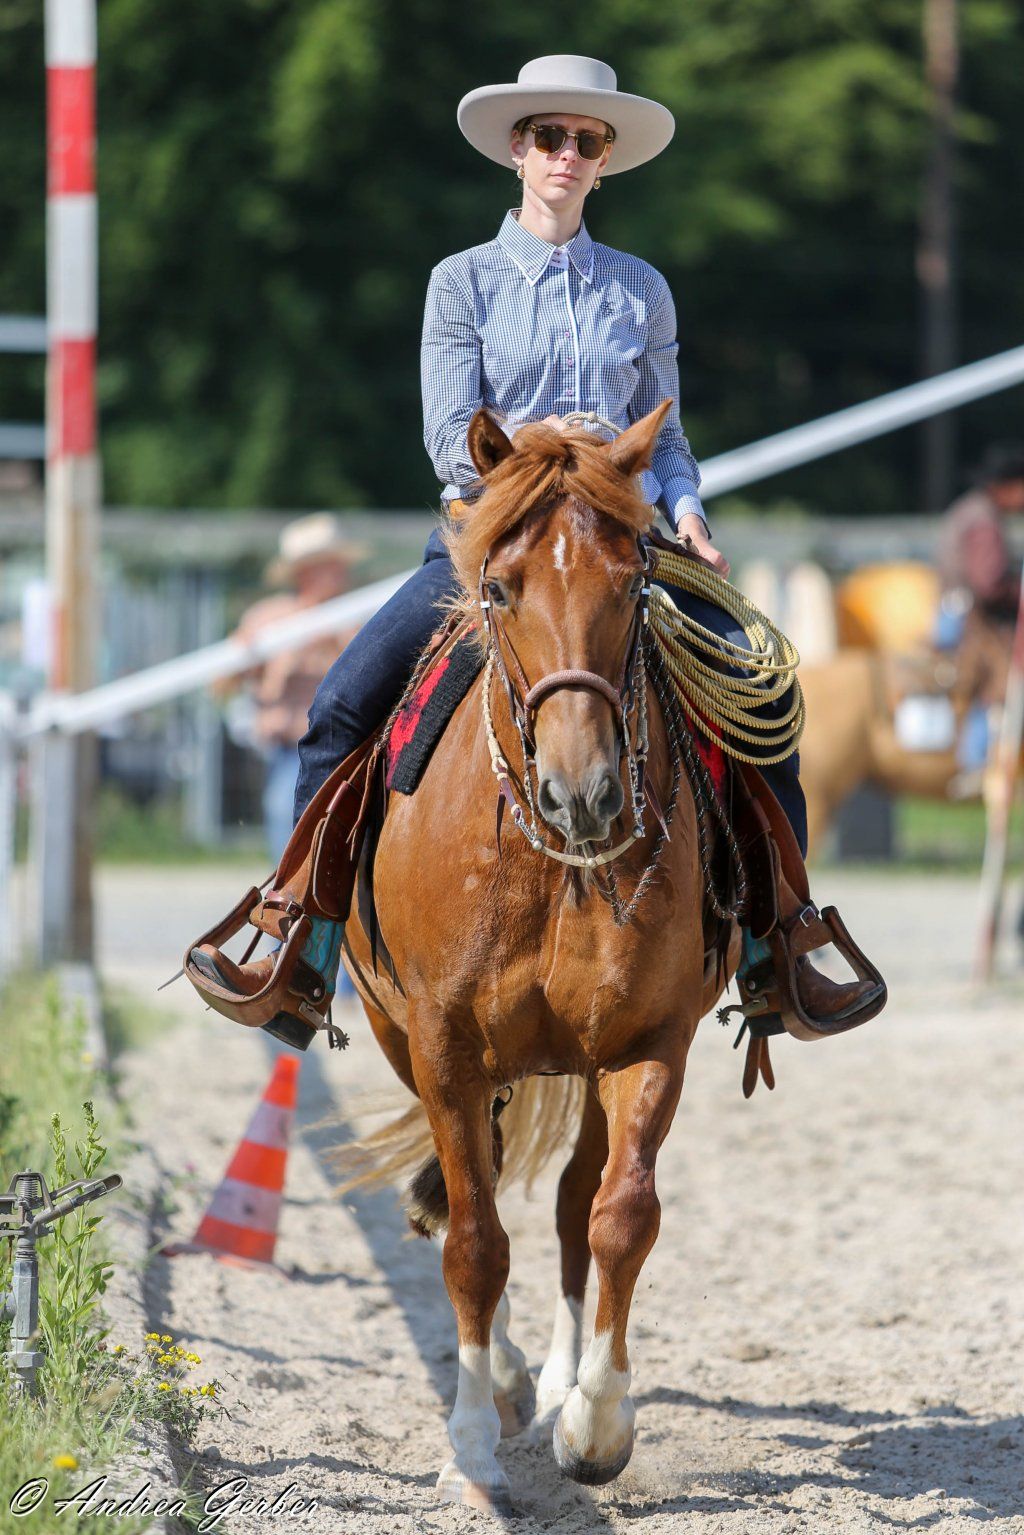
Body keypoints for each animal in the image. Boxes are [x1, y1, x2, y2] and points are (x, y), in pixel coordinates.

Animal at [338, 401, 731, 1512]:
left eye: (634, 583)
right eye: (502, 587)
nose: (582, 792)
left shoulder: (652, 1040)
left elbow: (619, 1216)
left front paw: (596, 1423)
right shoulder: (443, 1045)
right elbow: (474, 1239)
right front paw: (473, 1440)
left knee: (568, 1201)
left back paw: (553, 1378)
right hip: (409, 1040)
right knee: (476, 1190)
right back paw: (511, 1378)